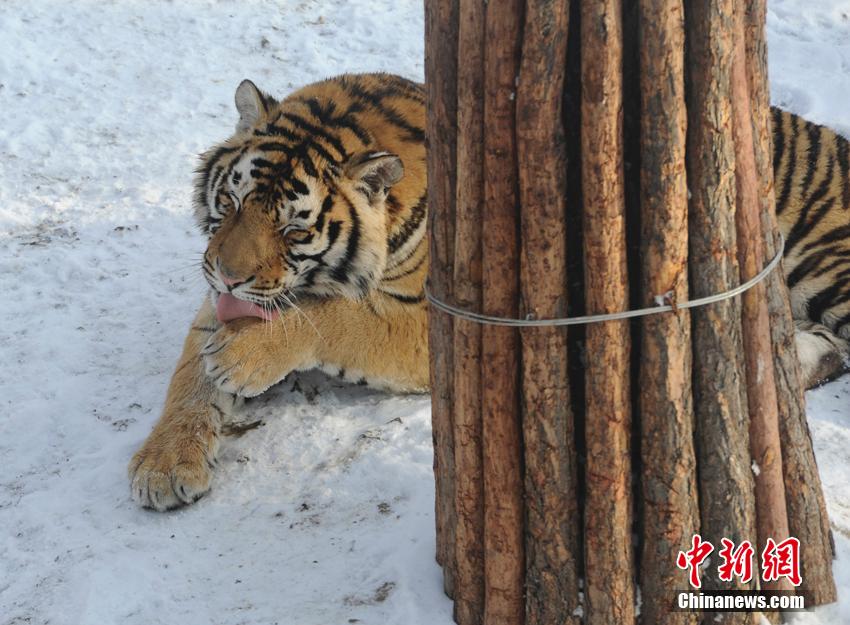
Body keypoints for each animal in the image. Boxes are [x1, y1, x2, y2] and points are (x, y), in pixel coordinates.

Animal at [128, 72, 849, 511]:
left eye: (295, 226)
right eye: (231, 203)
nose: (226, 273)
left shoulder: (438, 320)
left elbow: (335, 316)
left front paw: (246, 357)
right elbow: (190, 375)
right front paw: (164, 462)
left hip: (823, 265)